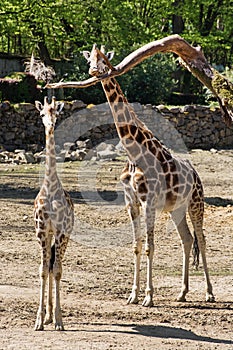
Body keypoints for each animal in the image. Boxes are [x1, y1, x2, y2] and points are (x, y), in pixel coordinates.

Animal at [82, 44, 215, 306]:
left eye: (102, 58)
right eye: (89, 58)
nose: (93, 71)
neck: (134, 153)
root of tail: (196, 174)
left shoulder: (149, 201)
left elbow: (149, 247)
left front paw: (149, 297)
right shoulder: (131, 202)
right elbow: (136, 245)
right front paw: (133, 295)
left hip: (196, 203)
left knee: (202, 239)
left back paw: (208, 293)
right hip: (177, 209)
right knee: (187, 239)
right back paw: (182, 293)